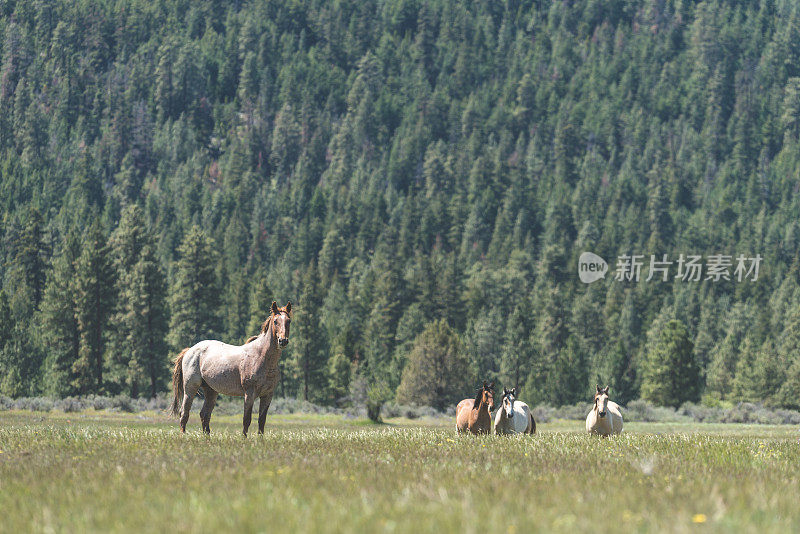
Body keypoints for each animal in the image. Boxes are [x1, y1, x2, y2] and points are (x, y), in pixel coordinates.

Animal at [170, 302, 292, 436]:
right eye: (275, 321)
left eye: (288, 321)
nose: (283, 341)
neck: (262, 357)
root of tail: (189, 350)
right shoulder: (249, 393)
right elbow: (246, 419)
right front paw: (244, 439)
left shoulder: (267, 395)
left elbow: (261, 422)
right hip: (190, 388)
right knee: (184, 414)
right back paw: (183, 436)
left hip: (211, 391)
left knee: (204, 415)